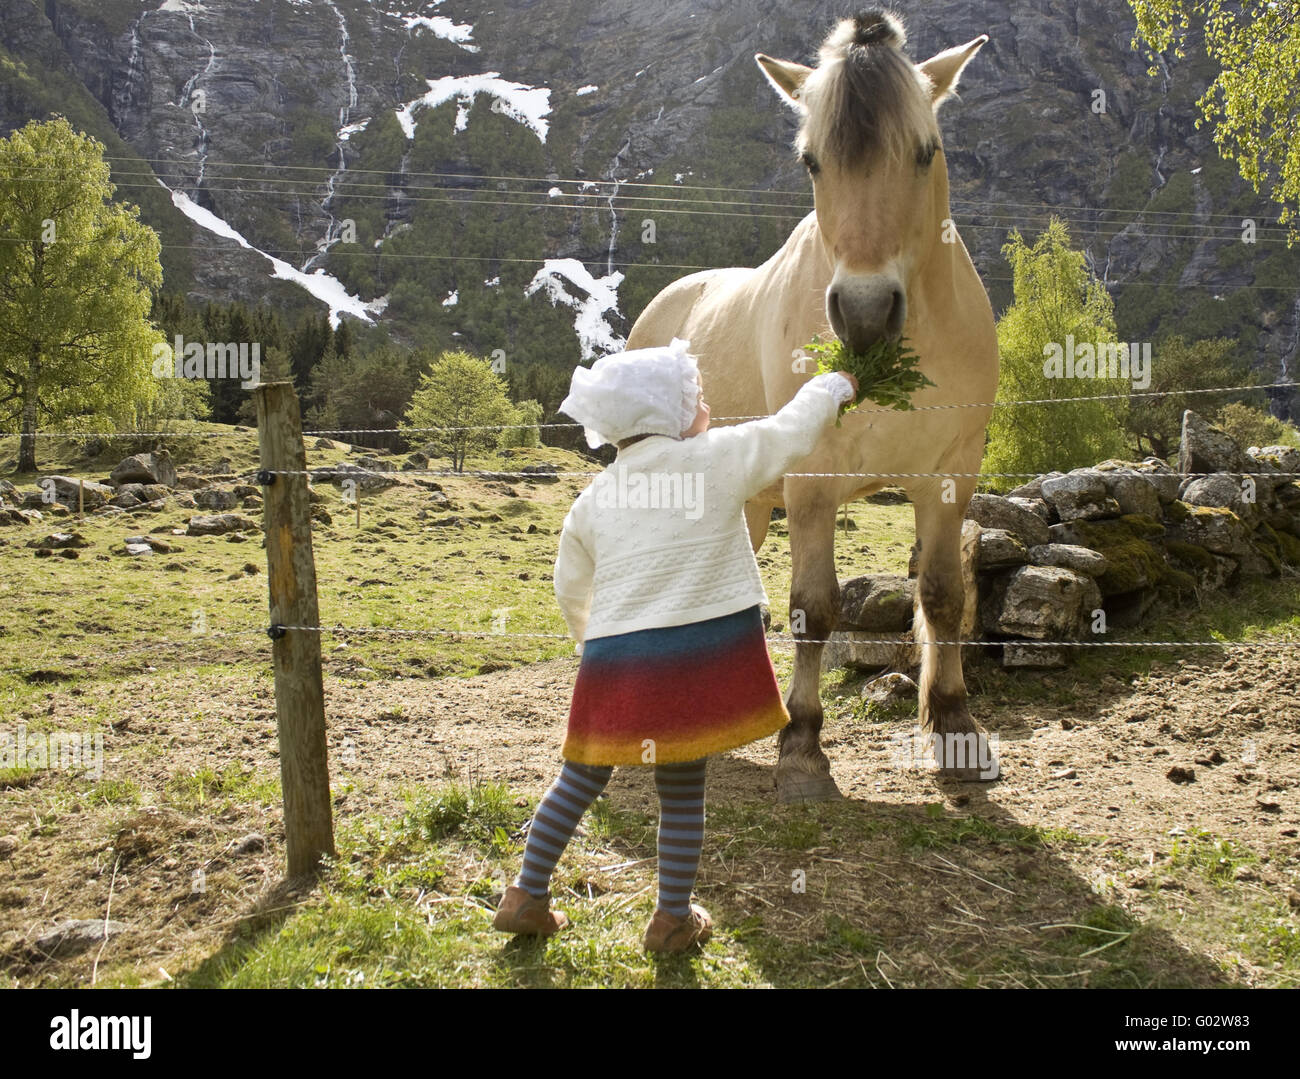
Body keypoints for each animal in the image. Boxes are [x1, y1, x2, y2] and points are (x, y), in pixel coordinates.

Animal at [624, 8, 998, 800]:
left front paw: (953, 726)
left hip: (741, 504)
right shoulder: (813, 485)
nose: (863, 314)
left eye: (925, 152)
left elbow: (944, 596)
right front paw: (801, 746)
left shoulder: (950, 477)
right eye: (812, 162)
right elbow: (814, 607)